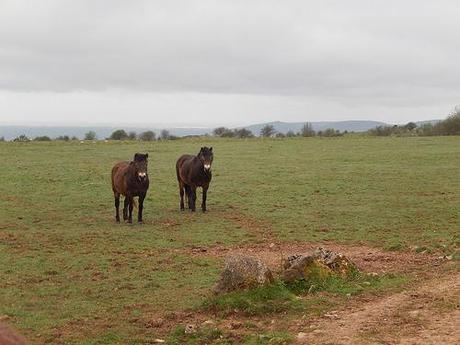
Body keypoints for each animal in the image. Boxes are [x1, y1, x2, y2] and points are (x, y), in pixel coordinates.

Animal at [0, 136, 458, 342]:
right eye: (138, 164)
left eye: (211, 157)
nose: (202, 164)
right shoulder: (144, 190)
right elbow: (145, 207)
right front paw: (142, 223)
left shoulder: (191, 188)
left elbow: (193, 199)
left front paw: (199, 212)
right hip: (128, 192)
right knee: (128, 205)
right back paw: (126, 218)